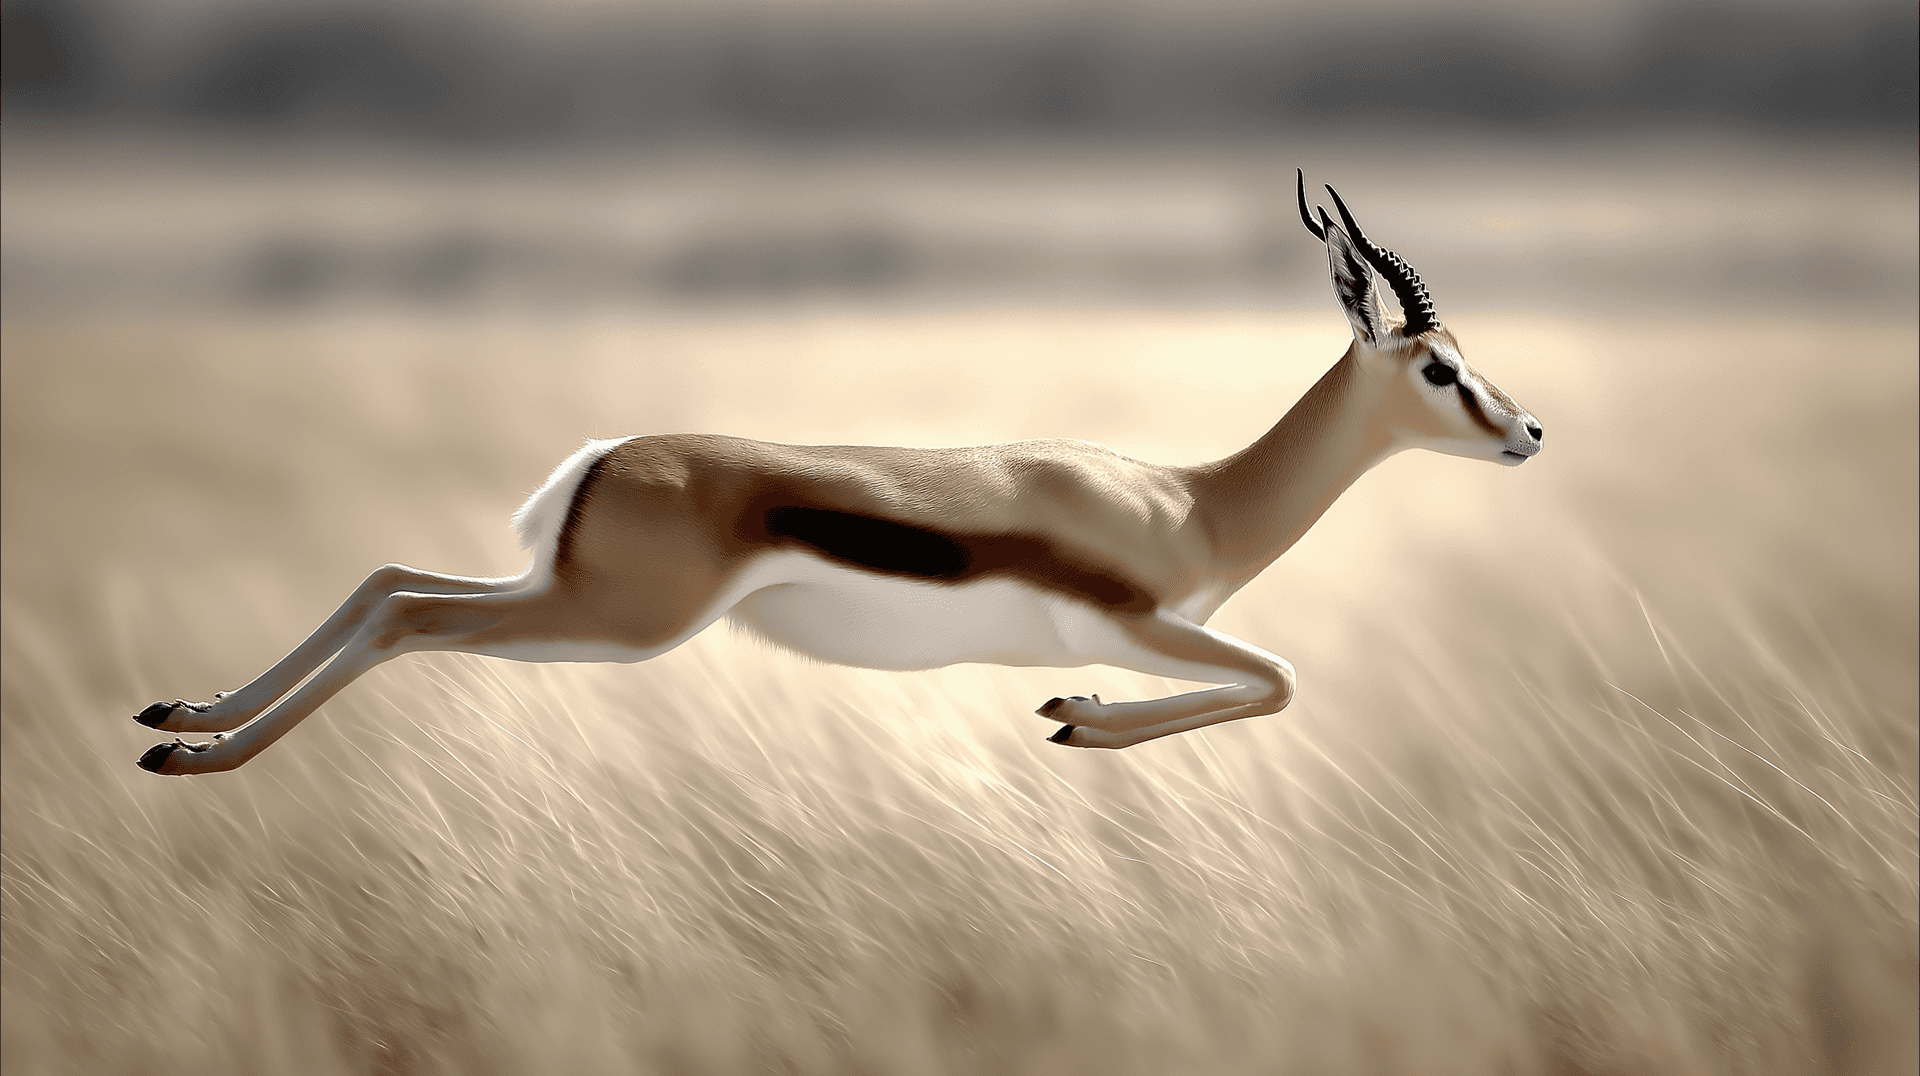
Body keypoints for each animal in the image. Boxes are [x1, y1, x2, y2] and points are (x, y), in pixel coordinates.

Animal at [134, 173, 1543, 775]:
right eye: (1438, 367)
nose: (1528, 432)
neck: (1190, 501)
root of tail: (606, 454)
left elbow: (1271, 680)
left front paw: (1074, 714)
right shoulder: (1147, 622)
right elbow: (1283, 677)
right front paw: (1077, 716)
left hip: (567, 599)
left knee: (385, 576)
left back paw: (179, 717)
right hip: (614, 622)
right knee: (410, 614)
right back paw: (203, 760)